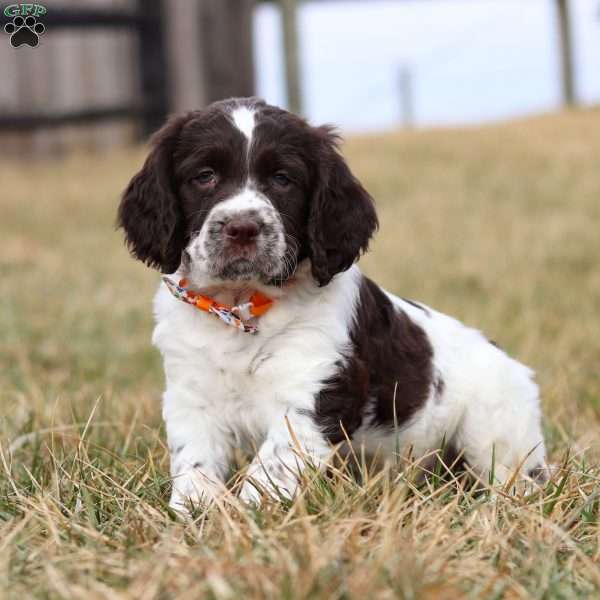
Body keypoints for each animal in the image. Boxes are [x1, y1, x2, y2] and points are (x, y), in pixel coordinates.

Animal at [117, 97, 548, 510]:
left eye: (283, 179)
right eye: (204, 176)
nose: (243, 228)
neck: (240, 308)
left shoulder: (315, 389)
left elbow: (271, 465)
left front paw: (248, 515)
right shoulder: (191, 395)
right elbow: (194, 461)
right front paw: (194, 512)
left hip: (496, 424)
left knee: (516, 476)